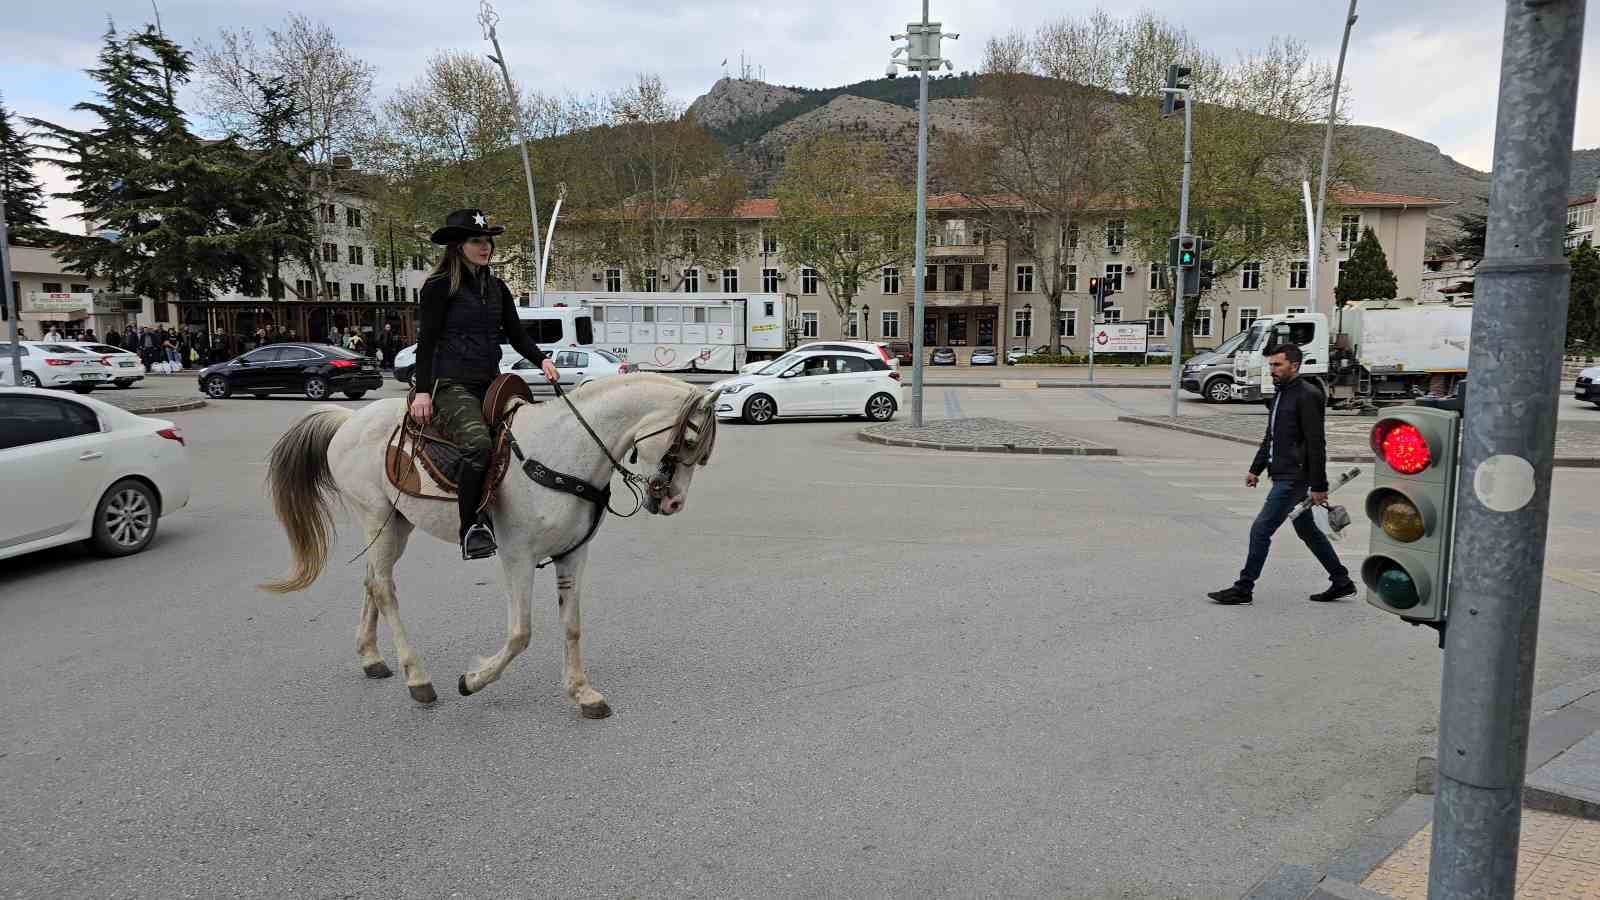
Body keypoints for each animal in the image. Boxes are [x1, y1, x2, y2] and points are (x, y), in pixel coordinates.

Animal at [259, 371, 716, 714]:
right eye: (691, 443)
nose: (674, 502)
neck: (564, 451)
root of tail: (348, 420)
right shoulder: (517, 556)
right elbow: (520, 633)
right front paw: (474, 680)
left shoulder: (572, 554)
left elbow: (572, 627)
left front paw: (582, 692)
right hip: (376, 519)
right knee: (384, 588)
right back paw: (417, 678)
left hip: (396, 524)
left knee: (372, 581)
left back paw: (372, 657)